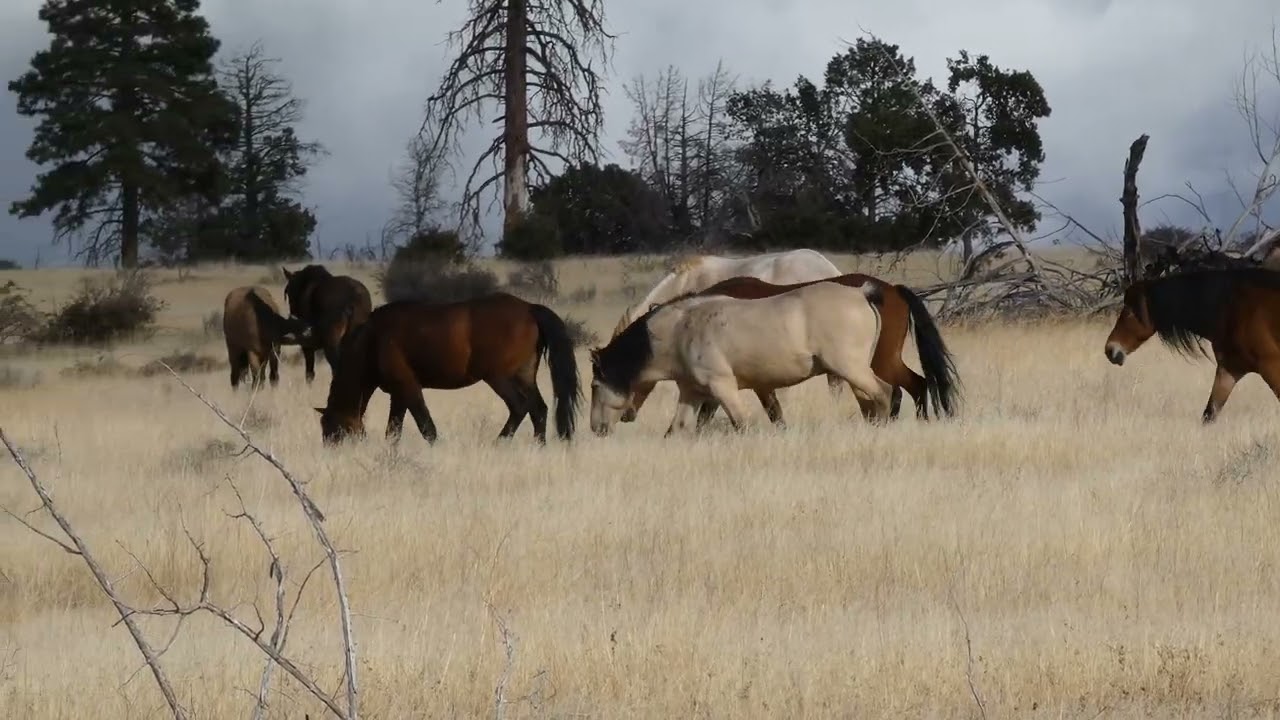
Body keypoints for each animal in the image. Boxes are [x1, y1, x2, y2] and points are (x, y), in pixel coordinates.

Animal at [314, 292, 582, 446]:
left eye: (332, 430)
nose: (332, 452)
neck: (374, 339)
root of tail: (528, 308)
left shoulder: (408, 387)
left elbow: (426, 427)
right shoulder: (398, 394)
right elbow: (393, 430)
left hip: (499, 378)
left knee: (520, 407)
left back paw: (499, 443)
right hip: (524, 377)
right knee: (539, 410)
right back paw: (539, 446)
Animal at [589, 280, 894, 436]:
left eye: (594, 386)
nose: (595, 428)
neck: (679, 330)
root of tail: (861, 293)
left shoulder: (722, 387)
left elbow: (742, 424)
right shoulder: (692, 392)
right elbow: (676, 430)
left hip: (851, 369)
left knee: (884, 392)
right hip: (852, 372)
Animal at [1103, 266, 1280, 422]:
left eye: (1130, 311)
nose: (1110, 349)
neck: (1234, 307)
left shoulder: (1270, 366)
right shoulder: (1229, 370)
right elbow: (1209, 414)